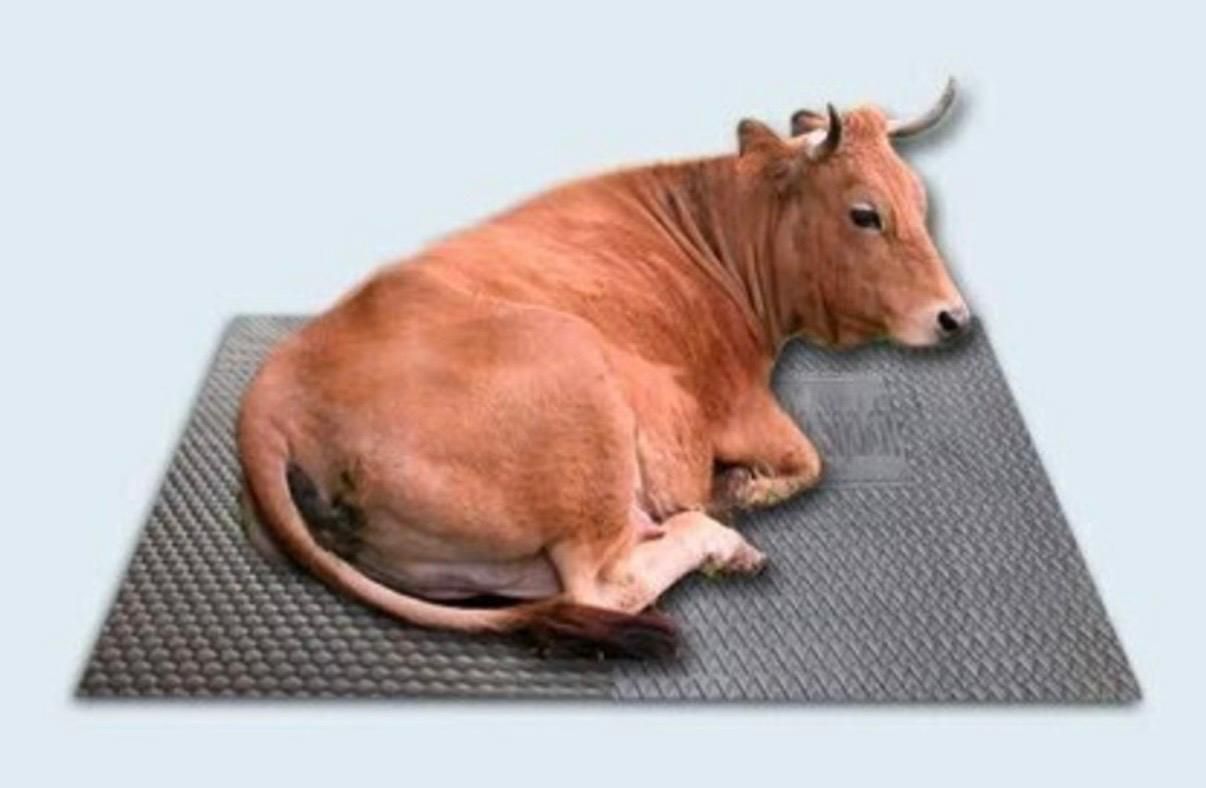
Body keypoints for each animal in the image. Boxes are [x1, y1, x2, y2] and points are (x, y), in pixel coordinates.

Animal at [237, 80, 969, 658]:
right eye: (865, 213)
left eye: (921, 201)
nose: (954, 318)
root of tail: (272, 394)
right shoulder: (736, 403)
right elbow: (810, 461)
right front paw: (743, 491)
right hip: (582, 397)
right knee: (603, 585)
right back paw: (721, 537)